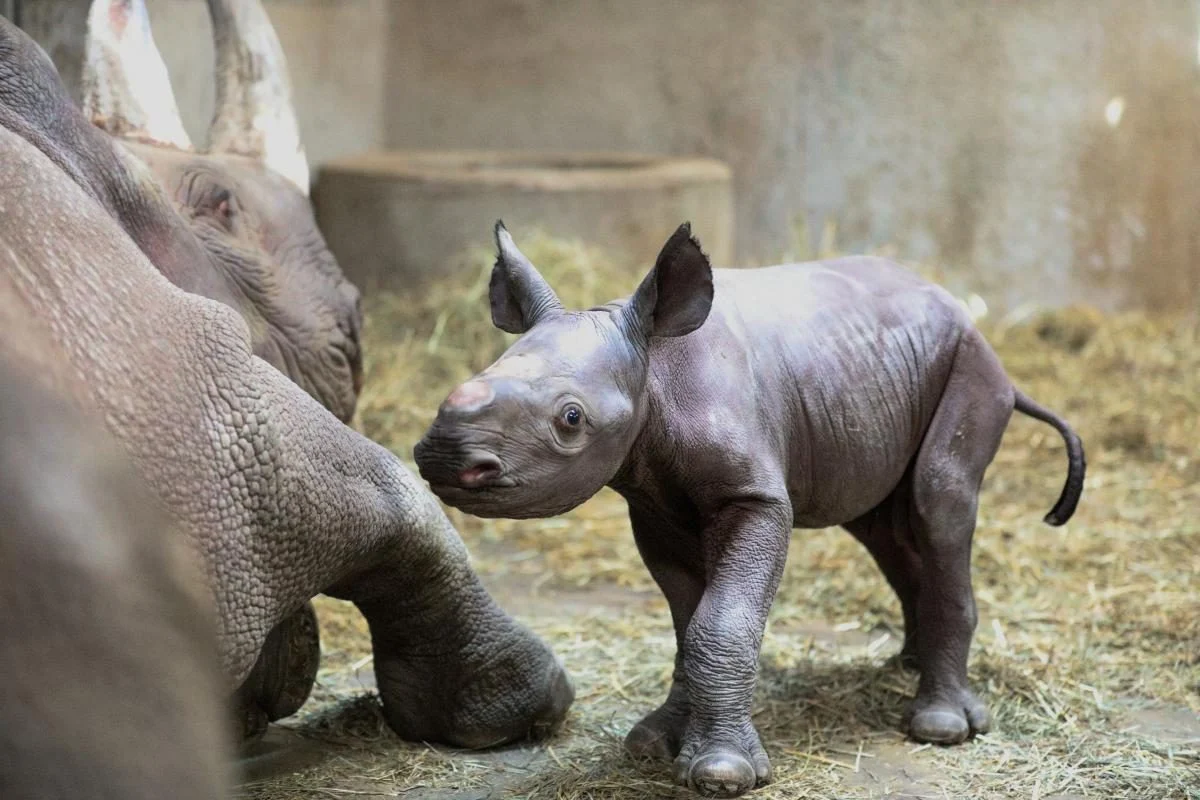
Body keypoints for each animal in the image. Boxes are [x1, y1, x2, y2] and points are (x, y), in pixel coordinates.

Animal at [415, 221, 1089, 796]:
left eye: (571, 419)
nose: (445, 456)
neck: (653, 367)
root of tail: (965, 315)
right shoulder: (653, 508)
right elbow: (688, 622)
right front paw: (656, 743)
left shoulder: (756, 498)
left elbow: (722, 619)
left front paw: (723, 774)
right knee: (882, 524)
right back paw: (909, 665)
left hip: (970, 365)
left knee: (939, 501)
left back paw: (940, 727)